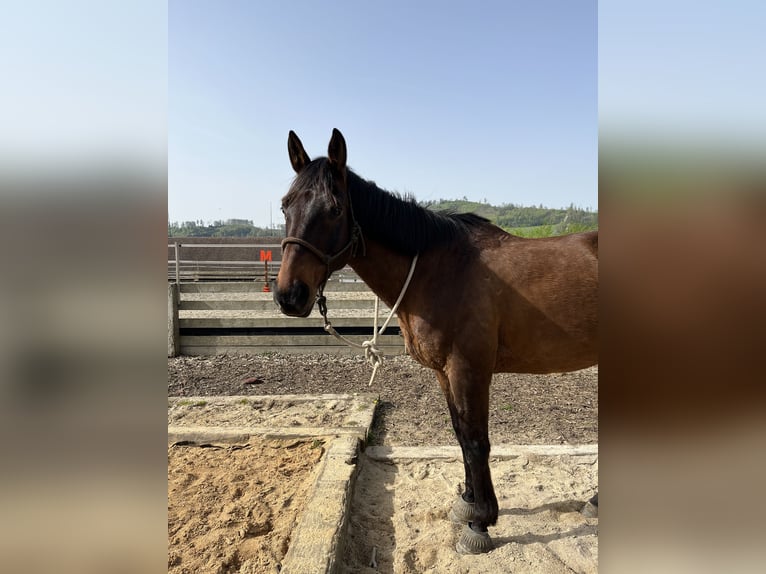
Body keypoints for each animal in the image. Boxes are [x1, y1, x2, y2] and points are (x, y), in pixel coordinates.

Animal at [276, 129, 600, 552]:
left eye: (334, 209)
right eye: (285, 206)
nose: (289, 295)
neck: (438, 270)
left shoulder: (468, 369)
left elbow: (477, 439)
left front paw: (480, 523)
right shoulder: (445, 372)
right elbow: (461, 434)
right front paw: (469, 503)